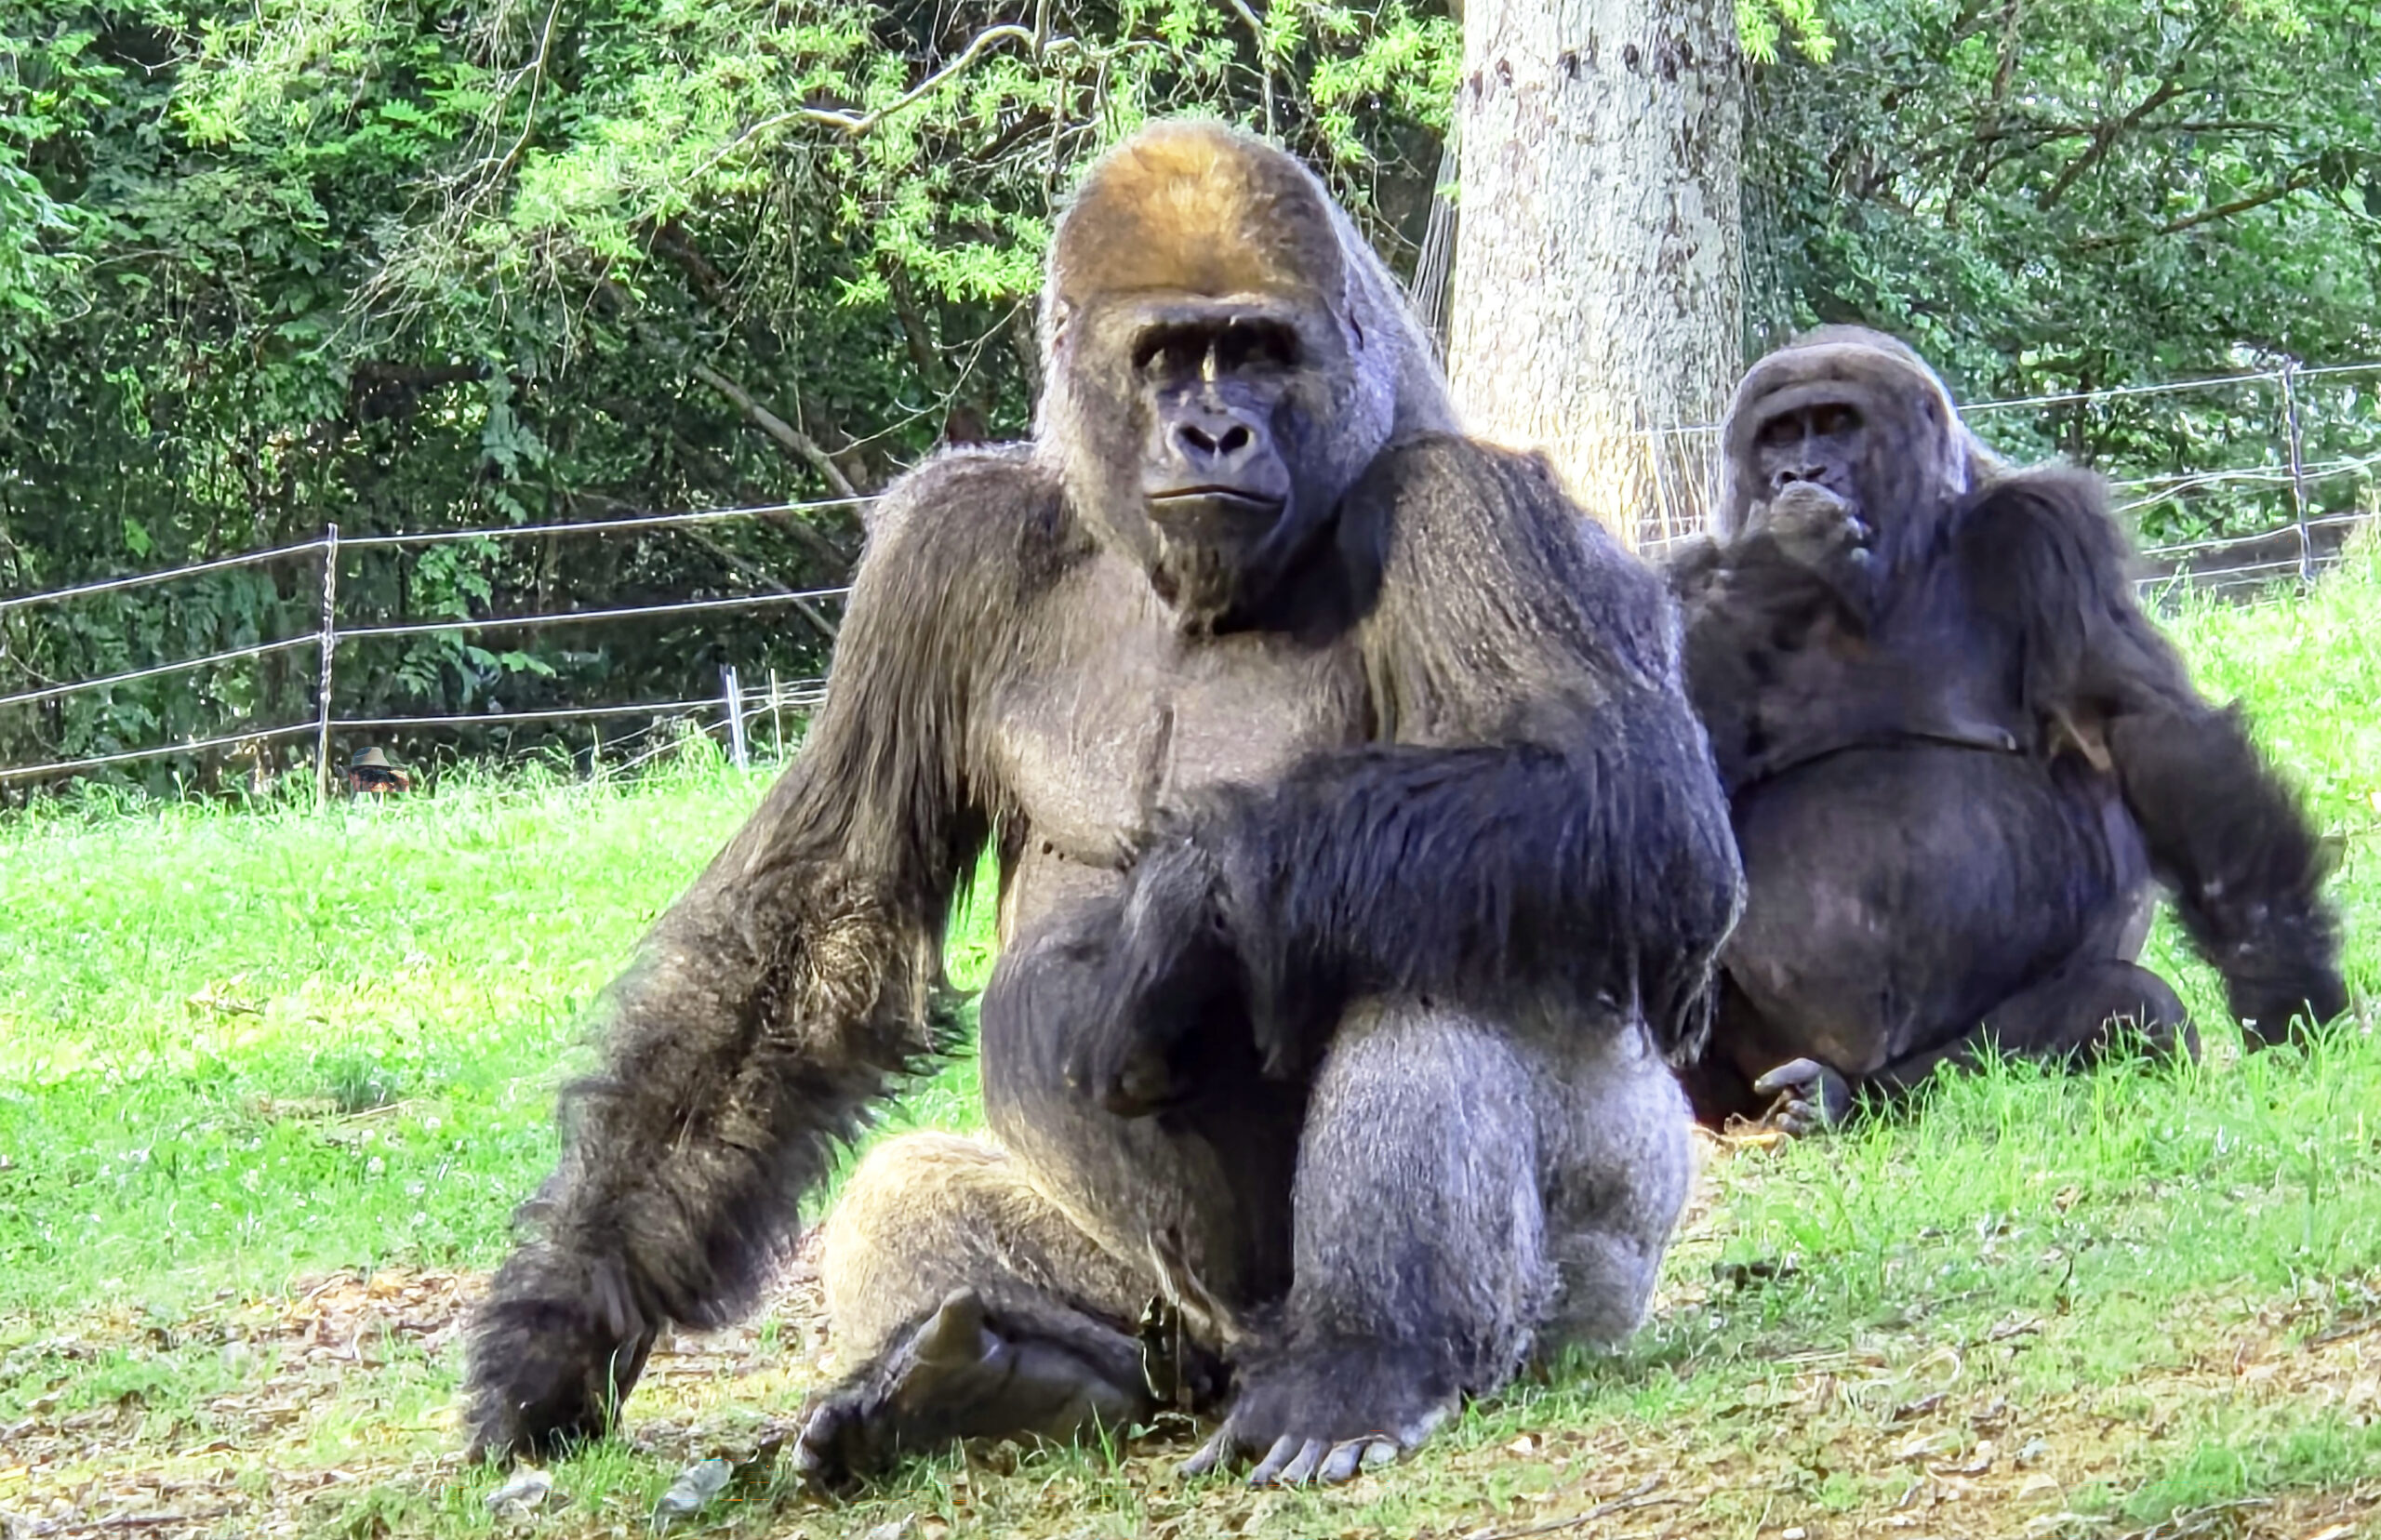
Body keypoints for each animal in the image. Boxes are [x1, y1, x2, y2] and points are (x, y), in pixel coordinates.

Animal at [461, 117, 1743, 1491]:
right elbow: (824, 915)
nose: (1215, 434)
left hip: (1602, 1268)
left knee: (1455, 927)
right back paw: (1008, 1374)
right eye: (1168, 358)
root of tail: (1230, 1358)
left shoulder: (1475, 507)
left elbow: (1633, 799)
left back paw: (1361, 1362)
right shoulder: (942, 549)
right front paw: (566, 1317)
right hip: (1166, 1315)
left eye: (1260, 352)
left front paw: (1179, 910)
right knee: (911, 1195)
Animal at [1665, 326, 2348, 1133]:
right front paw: (1782, 555)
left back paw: (1841, 1098)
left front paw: (2291, 998)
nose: (1800, 472)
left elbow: (2149, 733)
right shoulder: (1681, 576)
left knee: (2125, 1010)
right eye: (1779, 435)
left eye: (1835, 423)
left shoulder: (2049, 532)